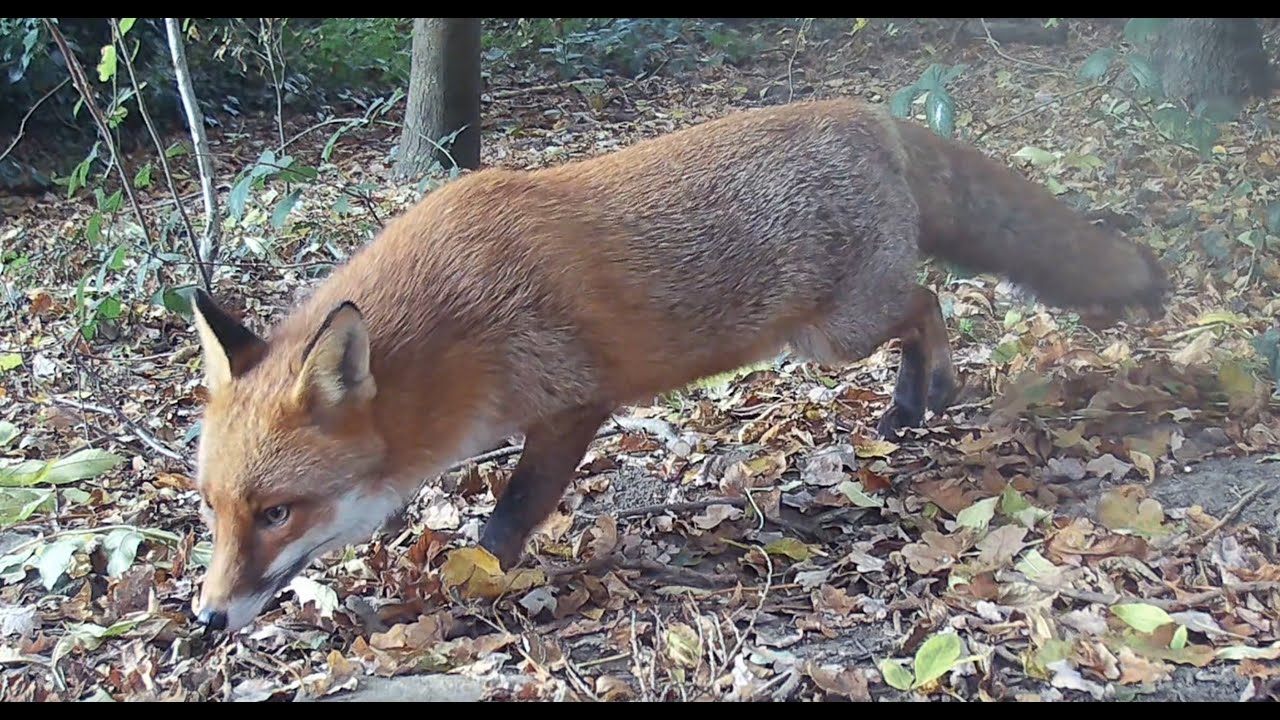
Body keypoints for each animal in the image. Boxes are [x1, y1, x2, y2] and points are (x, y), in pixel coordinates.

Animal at [188, 97, 1167, 634]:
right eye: (214, 511)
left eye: (276, 513)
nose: (204, 617)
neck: (457, 330)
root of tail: (867, 113)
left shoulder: (574, 403)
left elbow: (514, 509)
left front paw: (476, 578)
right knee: (927, 299)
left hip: (834, 333)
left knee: (928, 302)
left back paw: (923, 396)